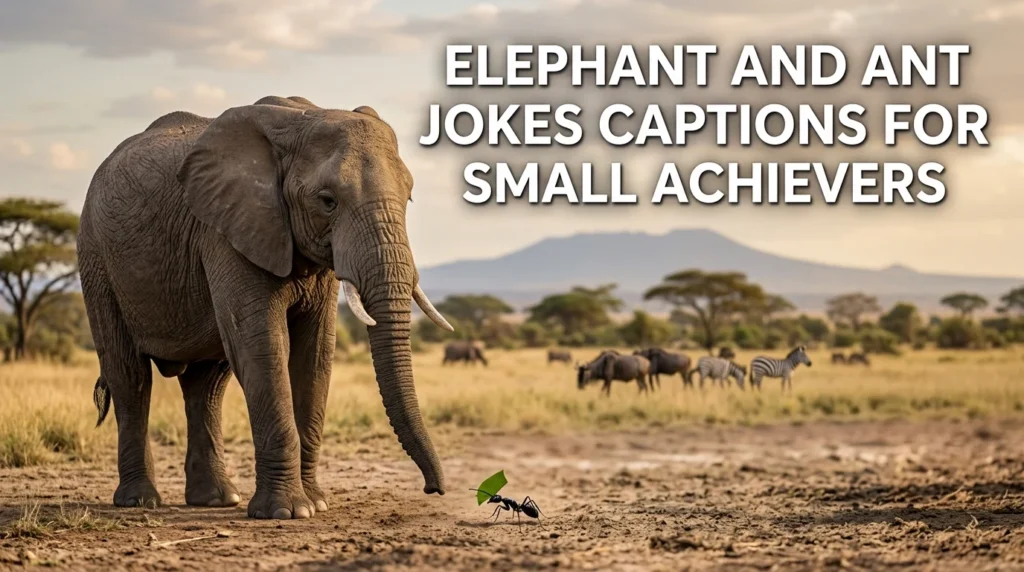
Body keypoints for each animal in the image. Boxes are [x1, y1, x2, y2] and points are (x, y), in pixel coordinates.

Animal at [77, 96, 453, 520]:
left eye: (408, 197)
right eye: (328, 202)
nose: (434, 489)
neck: (301, 118)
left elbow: (315, 355)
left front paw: (316, 503)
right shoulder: (227, 230)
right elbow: (262, 347)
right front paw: (288, 512)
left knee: (208, 385)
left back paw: (217, 500)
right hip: (97, 258)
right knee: (130, 376)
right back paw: (139, 500)